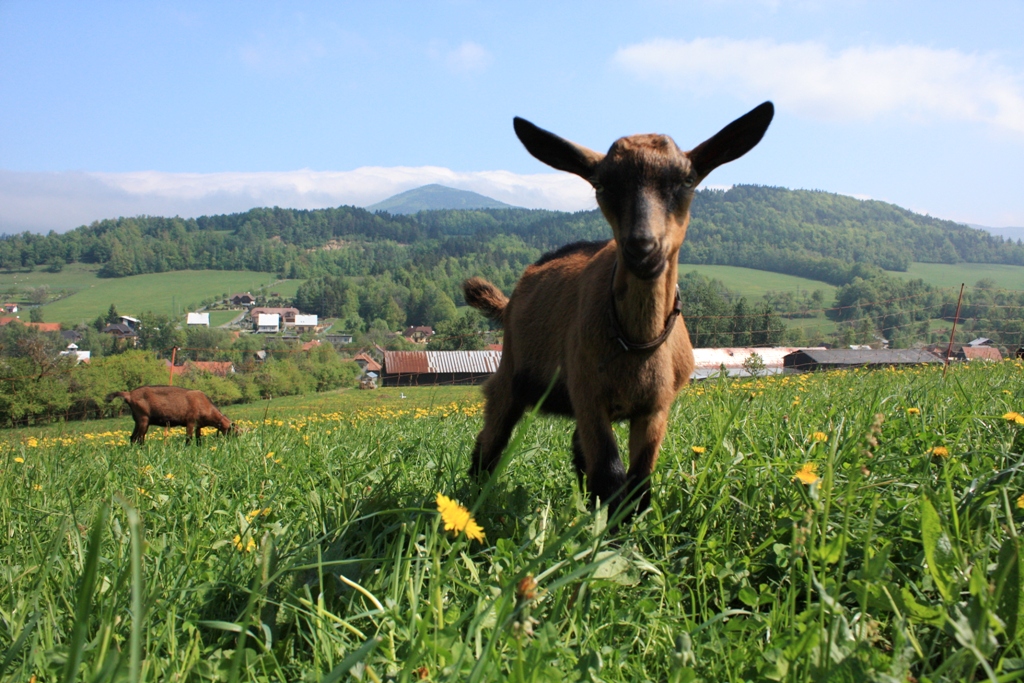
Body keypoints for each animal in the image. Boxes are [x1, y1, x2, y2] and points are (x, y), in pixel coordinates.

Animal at [460, 101, 770, 518]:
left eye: (688, 180)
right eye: (601, 184)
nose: (643, 247)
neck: (637, 343)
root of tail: (509, 302)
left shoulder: (655, 407)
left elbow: (639, 480)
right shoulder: (589, 394)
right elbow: (610, 474)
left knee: (577, 452)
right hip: (512, 376)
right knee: (491, 440)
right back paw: (473, 497)